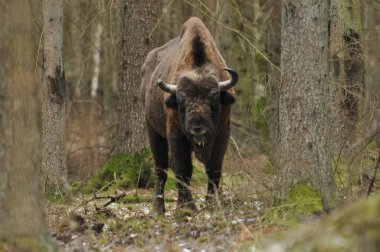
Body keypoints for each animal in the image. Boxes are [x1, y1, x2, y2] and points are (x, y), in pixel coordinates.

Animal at [141, 16, 239, 214]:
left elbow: (214, 169)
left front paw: (212, 204)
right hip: (153, 130)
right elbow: (183, 169)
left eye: (214, 100)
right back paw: (158, 208)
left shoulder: (222, 133)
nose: (198, 131)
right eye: (181, 102)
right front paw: (186, 206)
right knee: (161, 169)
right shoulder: (177, 136)